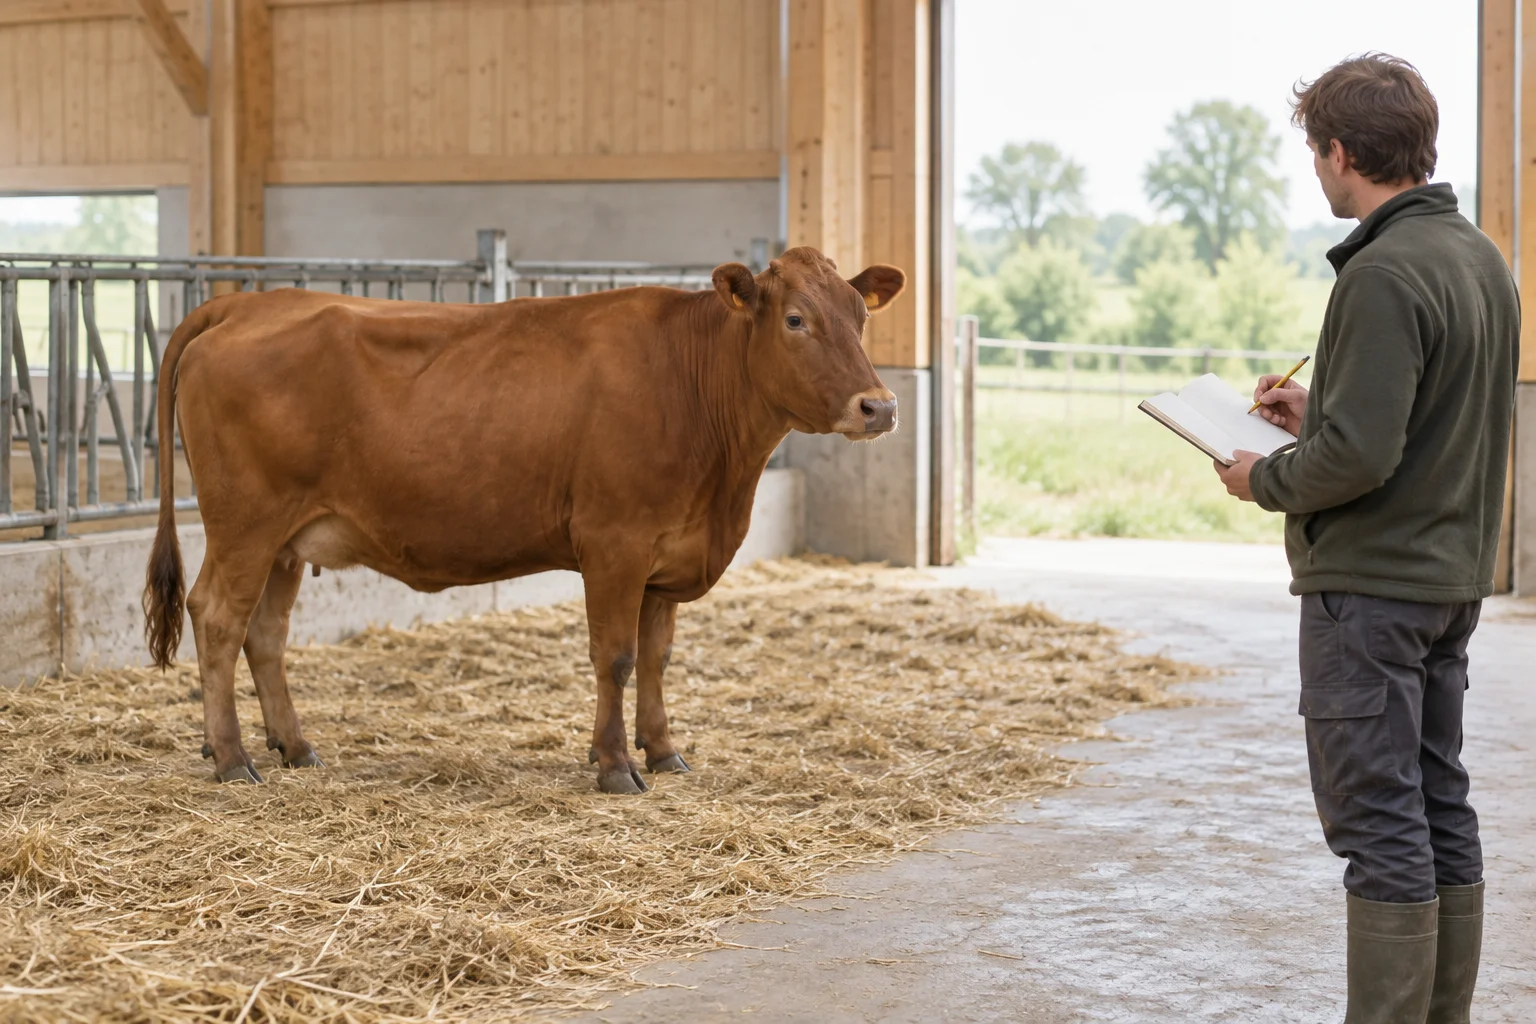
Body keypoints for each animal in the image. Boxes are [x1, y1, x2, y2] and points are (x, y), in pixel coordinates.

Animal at [142, 246, 905, 795]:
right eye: (795, 320)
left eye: (860, 315)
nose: (880, 406)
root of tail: (245, 303)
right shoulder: (615, 543)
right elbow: (616, 656)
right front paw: (615, 766)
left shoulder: (666, 555)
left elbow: (657, 657)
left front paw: (664, 752)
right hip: (245, 525)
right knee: (218, 618)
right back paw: (233, 758)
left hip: (288, 541)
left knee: (266, 633)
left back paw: (294, 746)